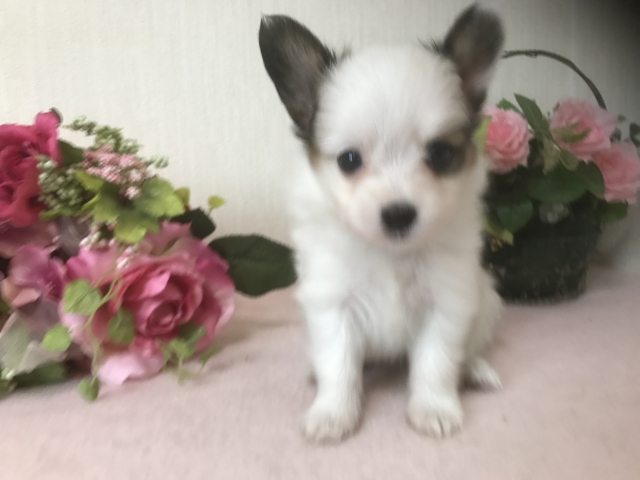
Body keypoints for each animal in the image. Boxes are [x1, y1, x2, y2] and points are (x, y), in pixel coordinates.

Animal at [259, 5, 505, 443]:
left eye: (440, 155)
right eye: (349, 160)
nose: (399, 214)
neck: (391, 253)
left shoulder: (446, 303)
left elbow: (437, 363)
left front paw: (434, 408)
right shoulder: (333, 304)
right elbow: (338, 366)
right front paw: (333, 413)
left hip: (486, 300)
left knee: (468, 350)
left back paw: (475, 369)